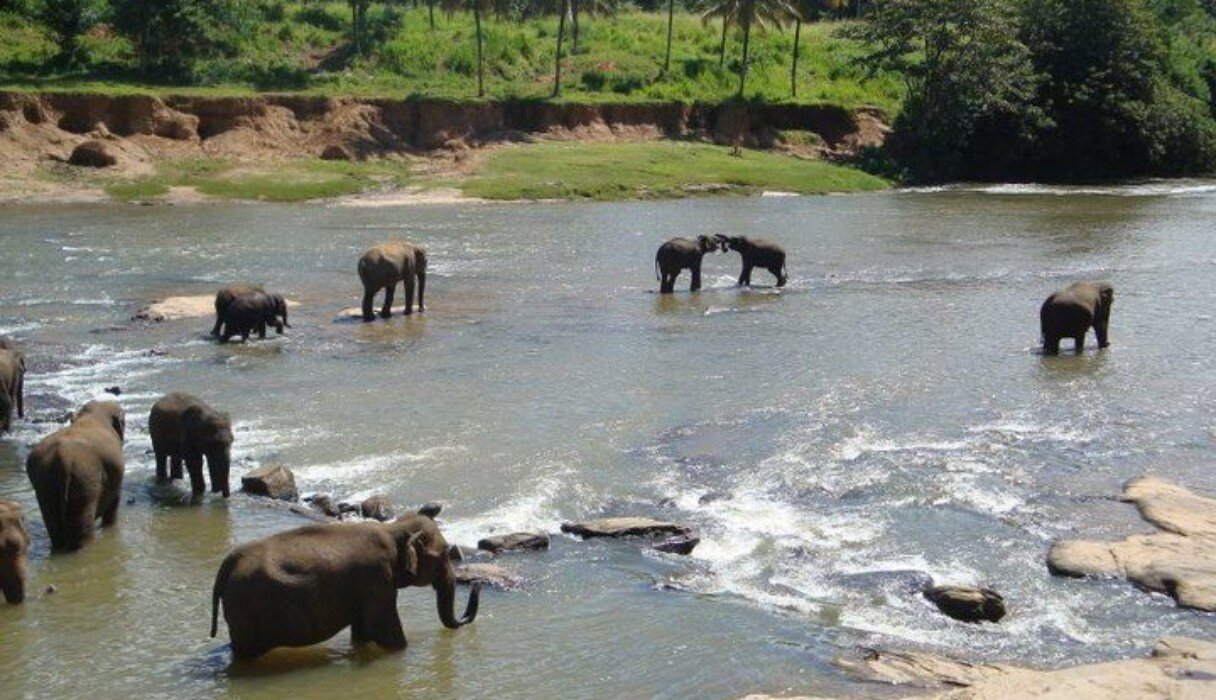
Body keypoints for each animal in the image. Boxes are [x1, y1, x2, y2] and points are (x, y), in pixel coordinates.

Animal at [25, 400, 125, 552]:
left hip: (45, 483)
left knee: (53, 526)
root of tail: (63, 458)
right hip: (85, 481)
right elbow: (113, 504)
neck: (93, 414)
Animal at [211, 512, 480, 659]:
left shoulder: (366, 585)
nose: (476, 584)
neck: (392, 528)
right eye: (445, 555)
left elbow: (362, 631)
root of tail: (229, 562)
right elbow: (382, 629)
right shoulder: (376, 577)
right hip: (246, 609)